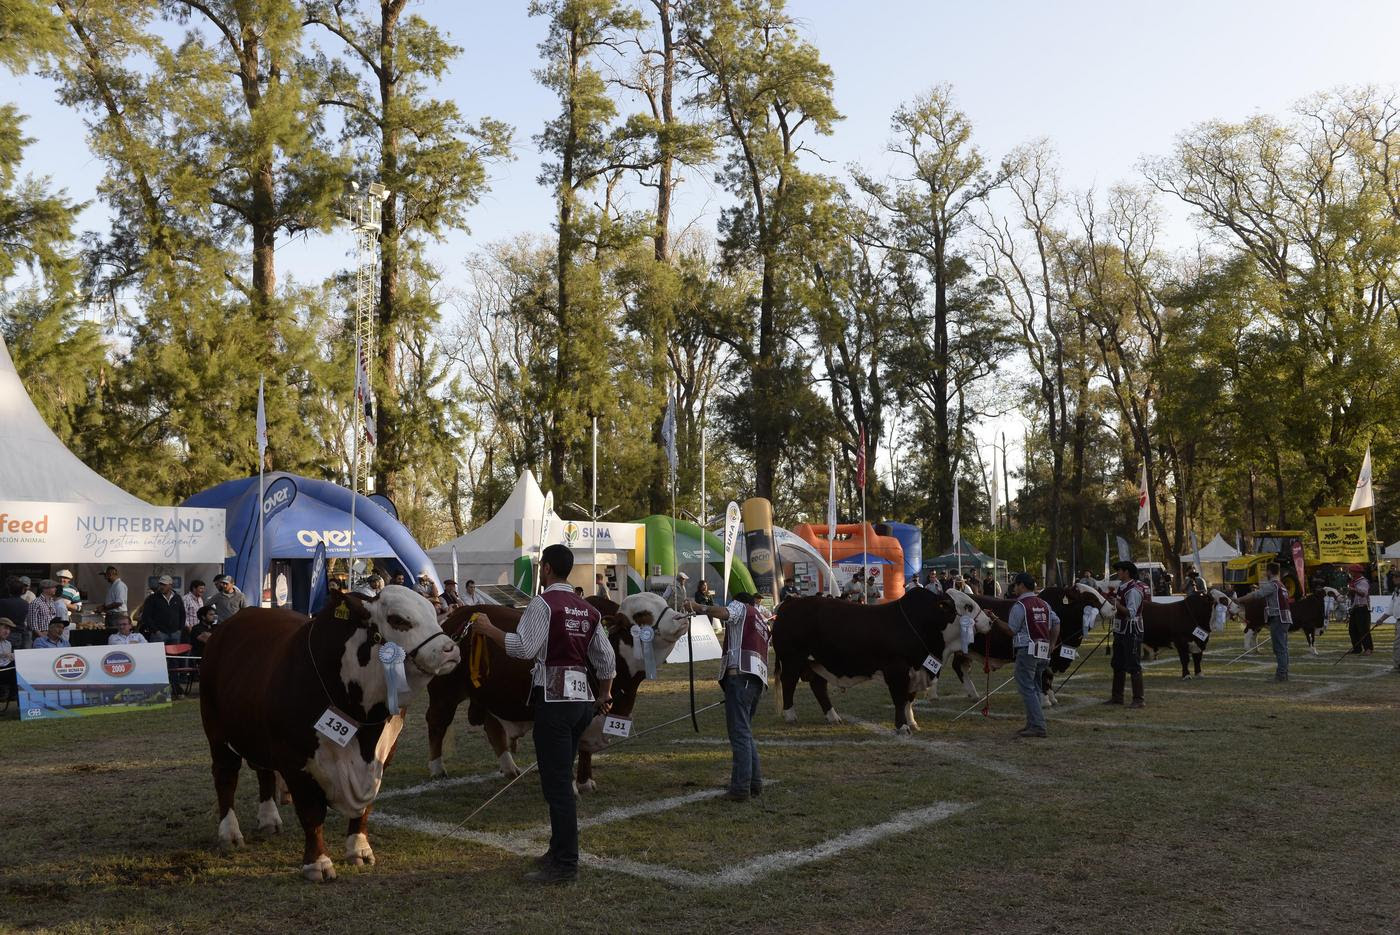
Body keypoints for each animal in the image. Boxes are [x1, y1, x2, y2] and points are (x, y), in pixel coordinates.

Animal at [200, 587, 459, 879]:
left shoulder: (383, 755)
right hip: (216, 732)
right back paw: (229, 834)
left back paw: (269, 820)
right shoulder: (295, 759)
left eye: (433, 612)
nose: (450, 649)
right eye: (398, 620)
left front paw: (359, 849)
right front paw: (318, 863)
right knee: (225, 777)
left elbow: (365, 807)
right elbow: (312, 811)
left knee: (263, 771)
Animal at [425, 590, 688, 789]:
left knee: (493, 727)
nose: (682, 617)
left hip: (491, 696)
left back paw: (510, 768)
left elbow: (584, 749)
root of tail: (459, 615)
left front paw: (585, 782)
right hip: (444, 692)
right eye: (642, 614)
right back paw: (437, 769)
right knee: (437, 723)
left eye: (665, 603)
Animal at [772, 587, 991, 733]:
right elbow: (899, 699)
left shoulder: (915, 671)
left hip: (818, 662)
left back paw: (833, 717)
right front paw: (902, 727)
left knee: (818, 686)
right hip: (793, 659)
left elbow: (908, 699)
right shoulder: (897, 670)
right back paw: (790, 715)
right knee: (789, 682)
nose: (990, 621)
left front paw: (912, 723)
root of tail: (790, 602)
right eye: (968, 606)